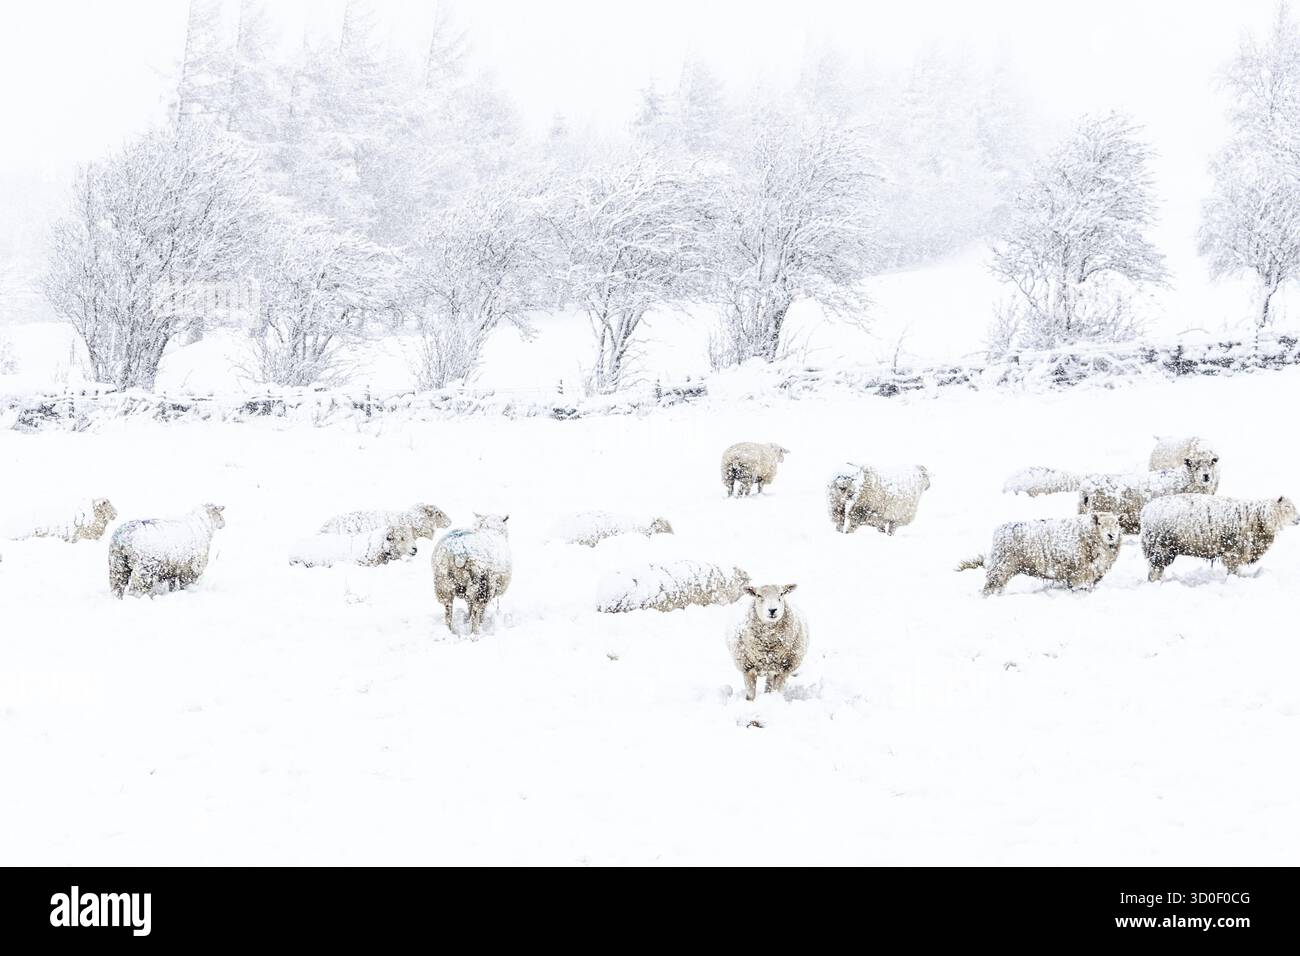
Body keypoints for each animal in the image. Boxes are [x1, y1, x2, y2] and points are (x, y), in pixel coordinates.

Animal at [957, 512, 1123, 595]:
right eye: (1100, 523)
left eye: (1117, 523)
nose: (1111, 535)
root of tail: (1001, 530)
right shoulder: (1080, 572)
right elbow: (1079, 588)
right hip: (1002, 566)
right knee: (991, 585)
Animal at [1140, 494, 1298, 581]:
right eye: (1287, 507)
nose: (1298, 519)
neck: (1258, 517)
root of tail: (1145, 510)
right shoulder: (1234, 551)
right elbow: (1233, 569)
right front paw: (1235, 580)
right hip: (1160, 547)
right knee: (1155, 570)